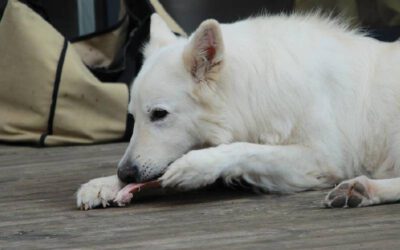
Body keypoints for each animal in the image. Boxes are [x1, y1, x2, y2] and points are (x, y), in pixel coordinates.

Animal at [76, 13, 400, 209]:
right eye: (134, 118)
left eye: (159, 114)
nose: (125, 173)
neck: (255, 89)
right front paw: (105, 184)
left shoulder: (321, 158)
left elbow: (245, 148)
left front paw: (195, 166)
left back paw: (364, 188)